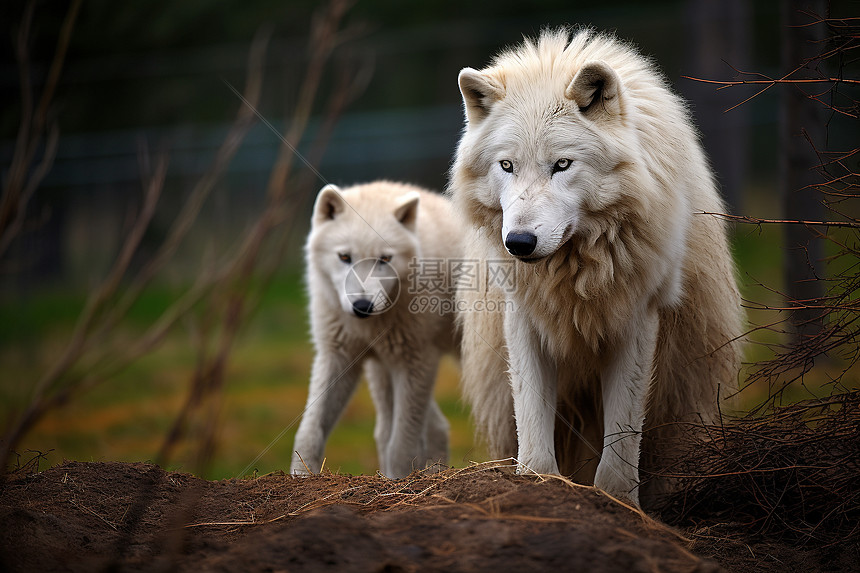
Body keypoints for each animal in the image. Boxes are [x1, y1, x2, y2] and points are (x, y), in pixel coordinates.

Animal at [292, 181, 460, 476]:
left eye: (384, 259)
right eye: (344, 256)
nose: (362, 306)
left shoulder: (417, 360)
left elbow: (401, 445)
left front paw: (400, 481)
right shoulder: (337, 356)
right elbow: (309, 430)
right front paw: (301, 475)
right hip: (382, 371)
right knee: (425, 428)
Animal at [450, 29, 744, 504]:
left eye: (562, 165)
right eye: (507, 165)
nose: (519, 243)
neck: (575, 275)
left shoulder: (638, 318)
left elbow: (622, 436)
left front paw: (620, 501)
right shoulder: (523, 318)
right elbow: (533, 424)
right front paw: (538, 485)